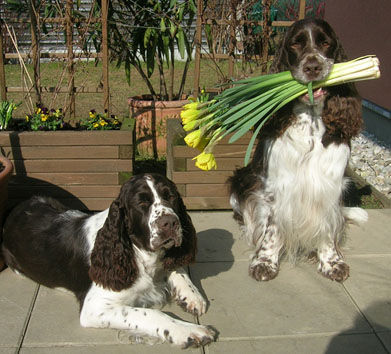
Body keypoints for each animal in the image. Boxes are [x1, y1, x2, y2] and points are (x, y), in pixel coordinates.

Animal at [2, 173, 217, 348]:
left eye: (170, 196)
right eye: (141, 204)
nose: (170, 223)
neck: (137, 253)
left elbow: (176, 268)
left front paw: (192, 296)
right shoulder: (95, 308)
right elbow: (153, 313)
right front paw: (190, 331)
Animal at [228, 18, 370, 284]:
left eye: (325, 43)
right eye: (295, 44)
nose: (313, 66)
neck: (311, 122)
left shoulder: (330, 184)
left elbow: (328, 225)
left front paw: (331, 261)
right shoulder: (275, 184)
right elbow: (272, 227)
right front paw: (265, 261)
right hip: (241, 180)